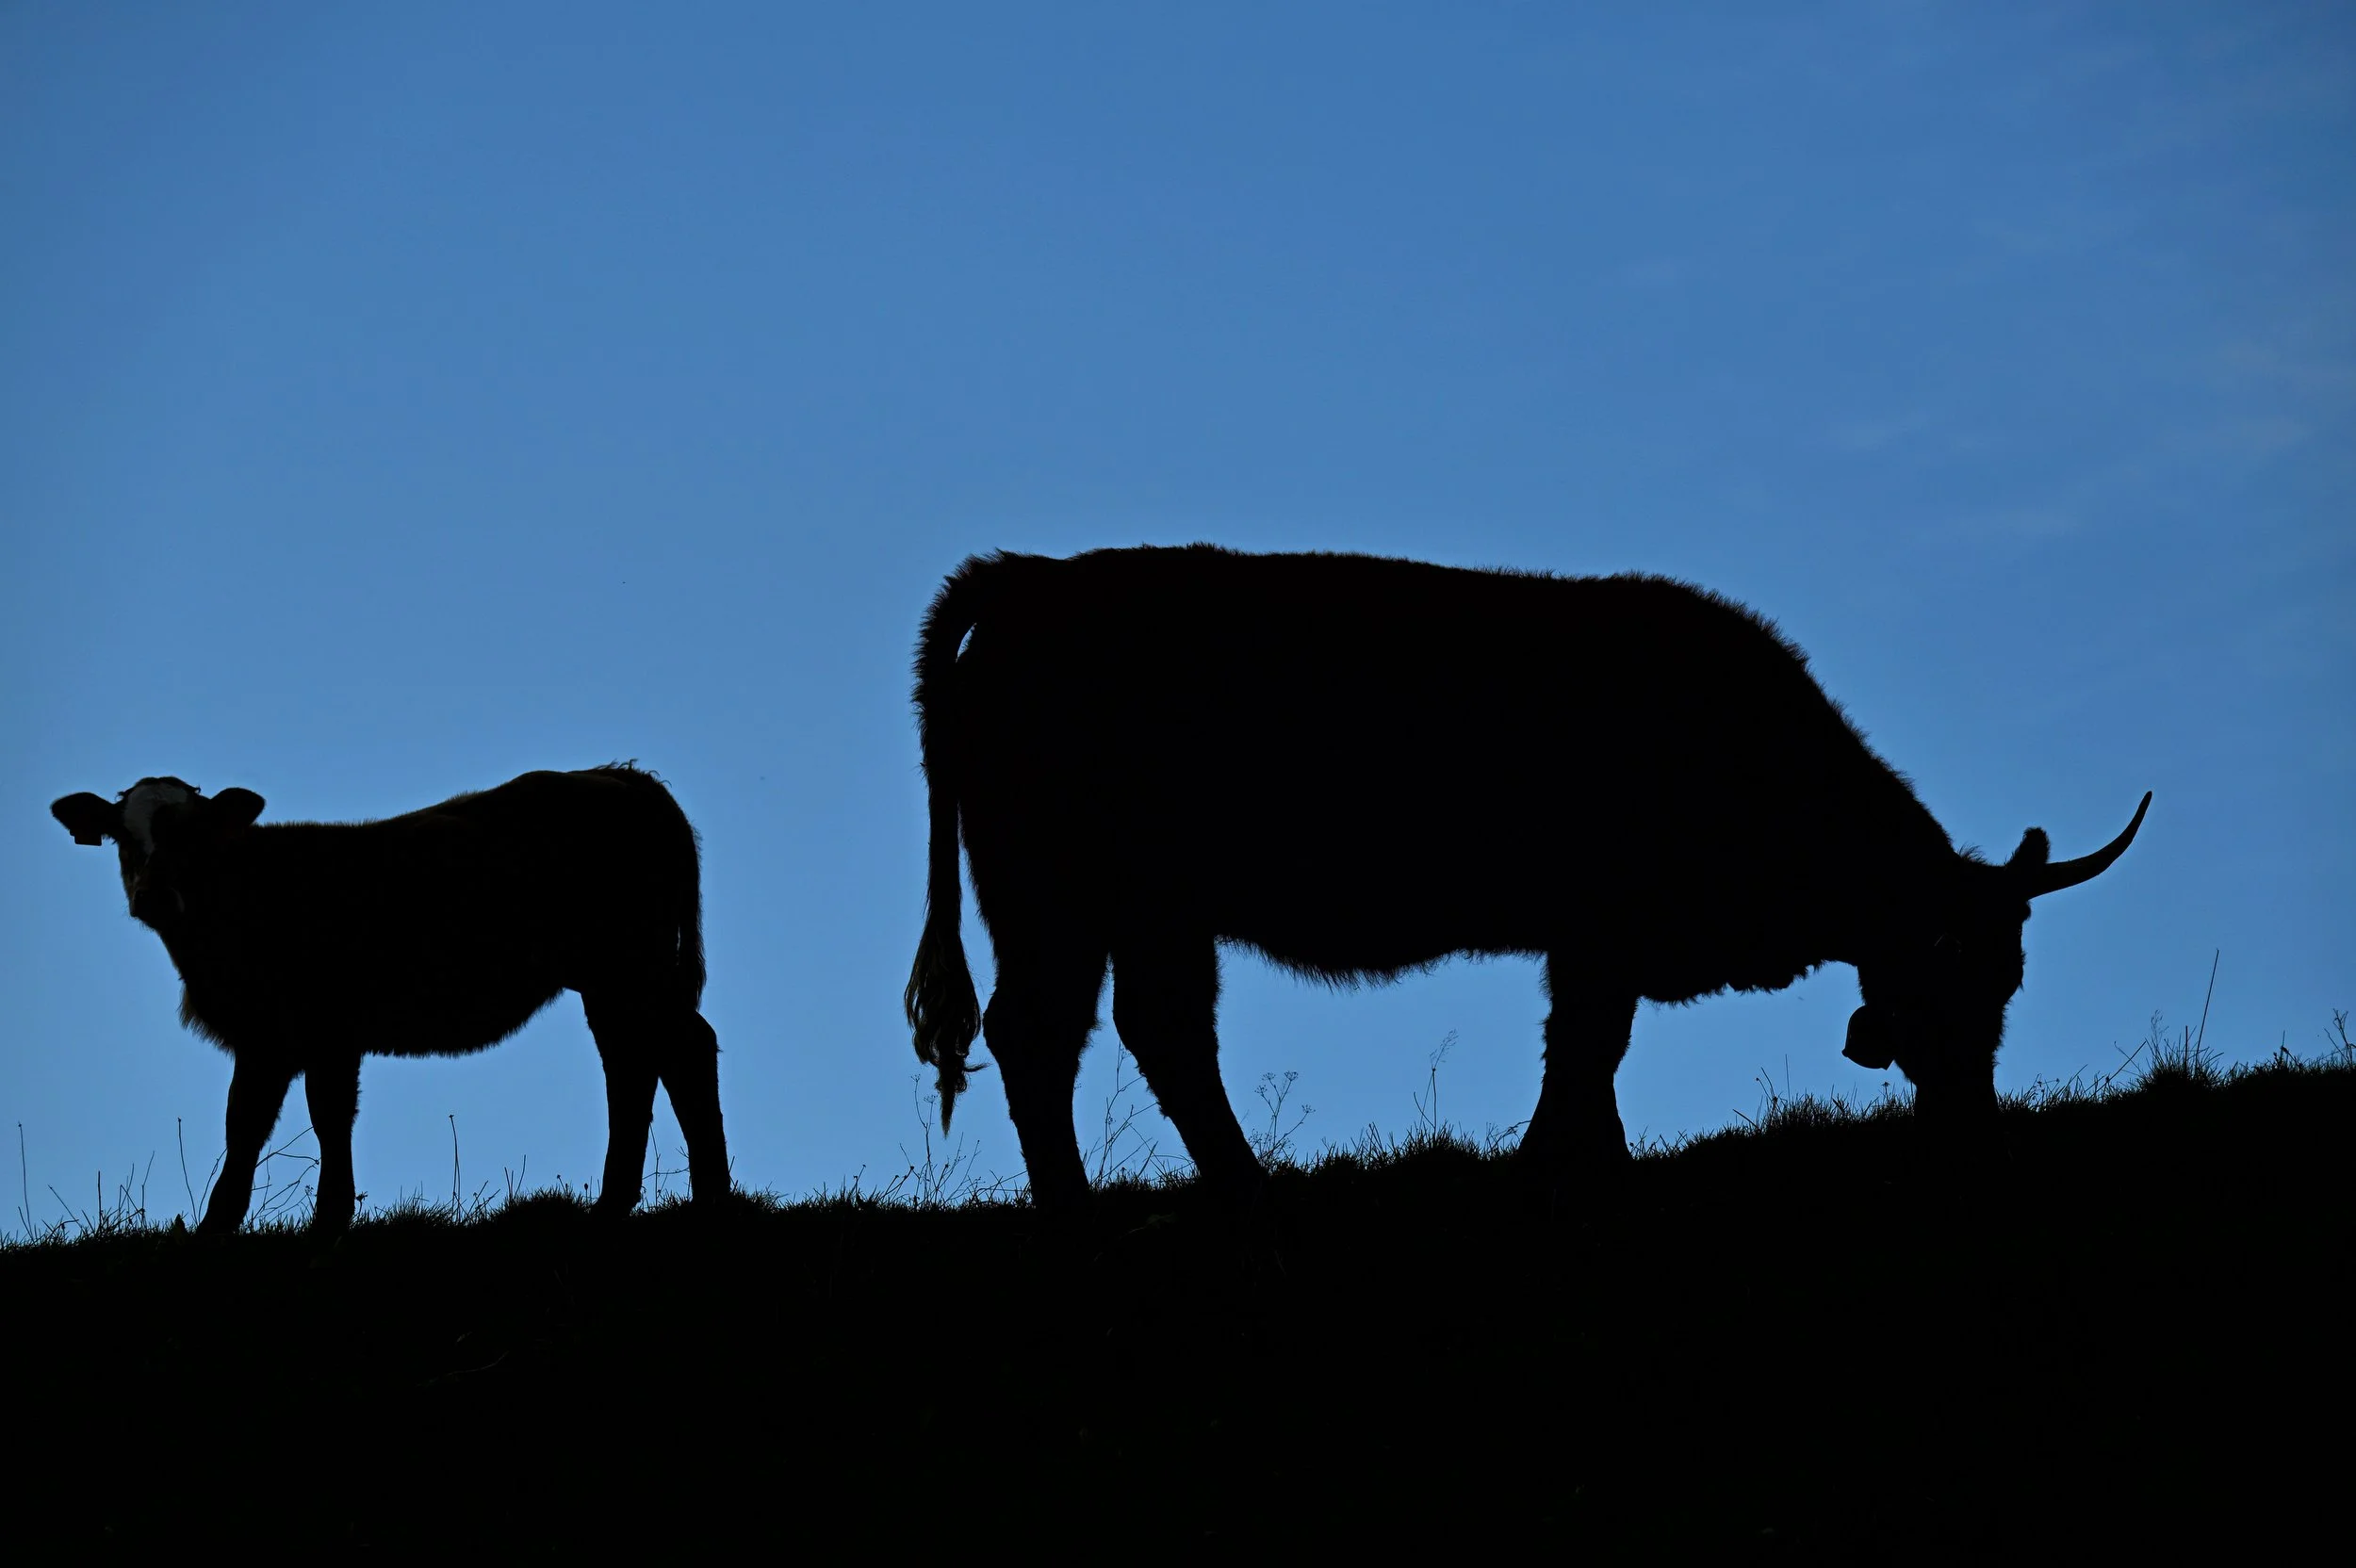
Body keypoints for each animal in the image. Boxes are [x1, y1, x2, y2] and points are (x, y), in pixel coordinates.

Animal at [49, 764, 732, 1235]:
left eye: (191, 835)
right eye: (121, 836)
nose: (153, 896)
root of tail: (620, 775)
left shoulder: (304, 1029)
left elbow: (295, 1118)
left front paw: (304, 1221)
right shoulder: (289, 1036)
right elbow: (273, 1119)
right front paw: (249, 1222)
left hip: (628, 963)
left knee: (683, 1050)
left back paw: (710, 1199)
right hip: (611, 978)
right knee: (634, 1063)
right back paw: (616, 1204)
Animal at [904, 545, 2150, 1210]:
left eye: (2011, 978)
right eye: (1948, 972)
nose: (1971, 1119)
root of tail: (1031, 581)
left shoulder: (1587, 944)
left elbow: (1590, 1055)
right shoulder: (1601, 935)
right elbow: (1586, 1051)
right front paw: (1550, 1163)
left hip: (1143, 912)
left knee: (1148, 1031)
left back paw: (1239, 1189)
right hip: (1056, 896)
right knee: (1045, 1034)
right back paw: (1091, 1209)